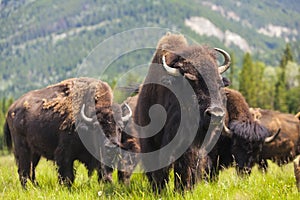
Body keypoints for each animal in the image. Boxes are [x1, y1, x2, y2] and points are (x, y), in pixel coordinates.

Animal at [135, 32, 231, 192]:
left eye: (219, 83)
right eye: (191, 80)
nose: (216, 114)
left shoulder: (192, 146)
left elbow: (187, 167)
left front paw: (184, 190)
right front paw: (160, 190)